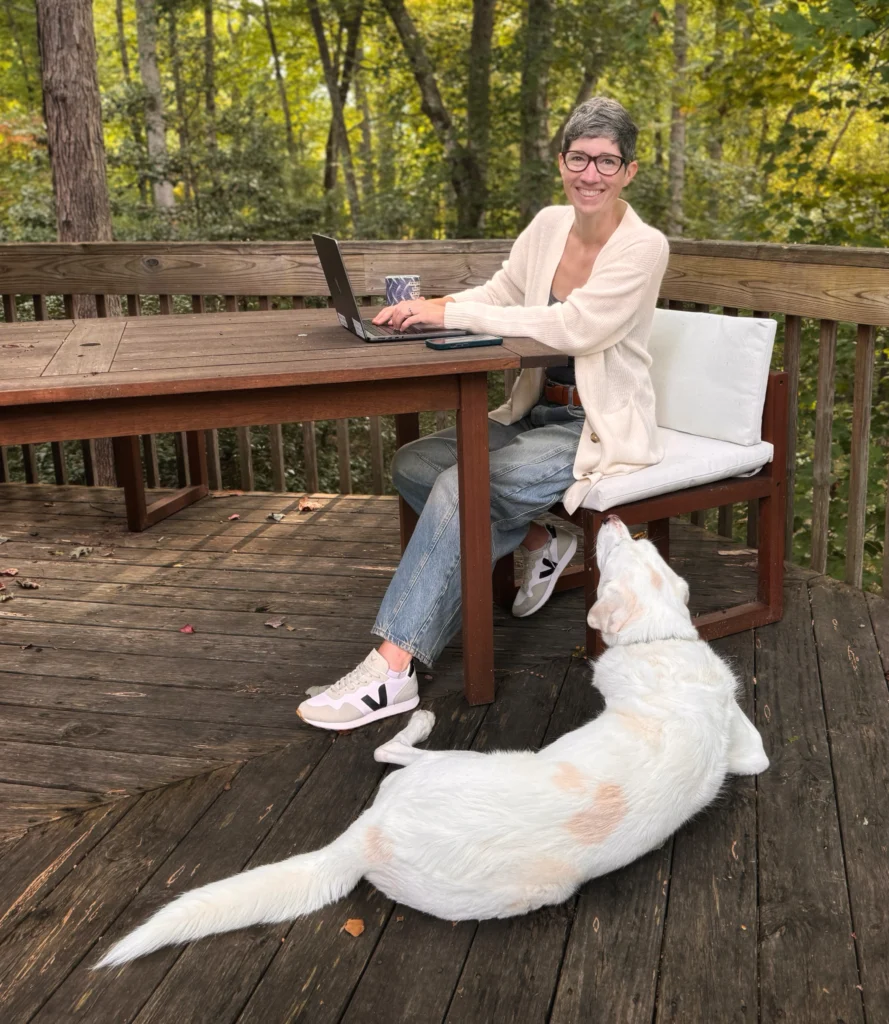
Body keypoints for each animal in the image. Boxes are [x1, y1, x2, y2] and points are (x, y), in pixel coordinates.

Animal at [93, 516, 766, 970]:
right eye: (639, 547)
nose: (620, 521)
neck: (664, 640)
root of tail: (366, 840)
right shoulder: (749, 746)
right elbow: (756, 753)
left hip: (461, 762)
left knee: (388, 751)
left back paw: (416, 724)